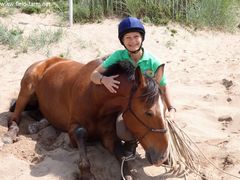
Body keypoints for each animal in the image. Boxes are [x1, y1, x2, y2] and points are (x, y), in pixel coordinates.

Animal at [4, 57, 168, 179]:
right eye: (149, 113)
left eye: (165, 110)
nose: (163, 157)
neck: (96, 98)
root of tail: (44, 61)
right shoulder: (73, 130)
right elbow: (81, 133)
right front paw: (86, 173)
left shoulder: (108, 136)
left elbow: (121, 157)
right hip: (26, 89)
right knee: (14, 118)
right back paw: (10, 135)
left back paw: (36, 125)